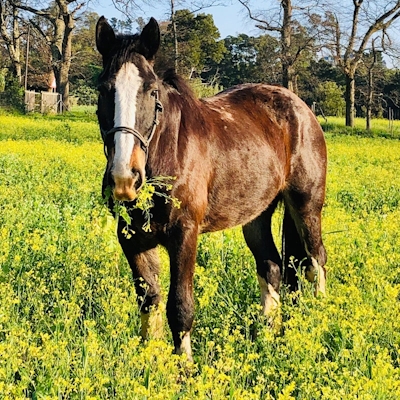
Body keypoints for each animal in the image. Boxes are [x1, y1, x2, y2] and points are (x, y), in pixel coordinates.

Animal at [95, 15, 326, 360]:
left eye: (151, 92)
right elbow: (149, 299)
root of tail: (301, 108)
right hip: (256, 216)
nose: (125, 179)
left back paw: (323, 319)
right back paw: (267, 335)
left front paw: (185, 368)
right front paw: (151, 362)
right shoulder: (132, 238)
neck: (169, 151)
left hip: (306, 204)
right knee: (272, 265)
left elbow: (180, 307)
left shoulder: (184, 234)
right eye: (103, 89)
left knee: (315, 259)